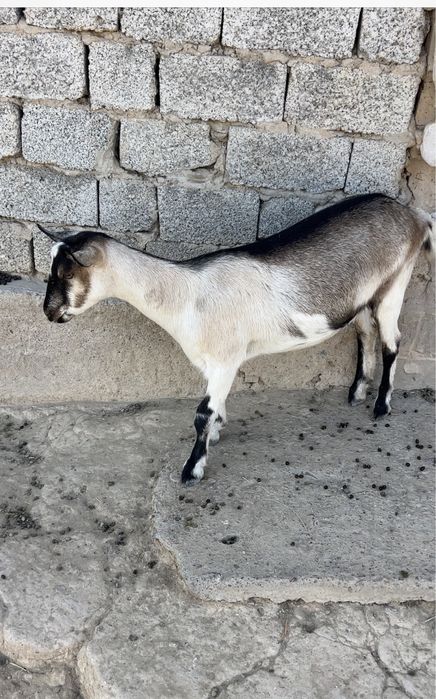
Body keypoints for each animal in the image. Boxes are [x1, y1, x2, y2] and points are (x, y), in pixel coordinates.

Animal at [40, 193, 435, 485]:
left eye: (67, 272)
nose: (48, 312)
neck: (186, 295)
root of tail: (413, 214)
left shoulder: (226, 359)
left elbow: (202, 413)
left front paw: (192, 469)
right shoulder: (213, 364)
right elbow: (215, 408)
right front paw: (216, 434)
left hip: (395, 285)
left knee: (391, 342)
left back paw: (381, 406)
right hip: (365, 298)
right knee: (365, 334)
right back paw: (356, 393)